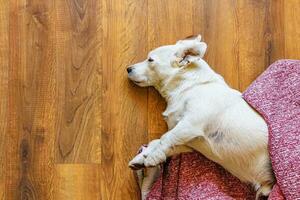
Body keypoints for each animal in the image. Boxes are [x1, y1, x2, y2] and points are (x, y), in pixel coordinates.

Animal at [126, 34, 274, 198]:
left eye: (150, 60)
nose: (128, 68)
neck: (189, 88)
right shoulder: (188, 142)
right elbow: (159, 142)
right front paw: (142, 158)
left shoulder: (190, 124)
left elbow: (165, 138)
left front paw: (152, 157)